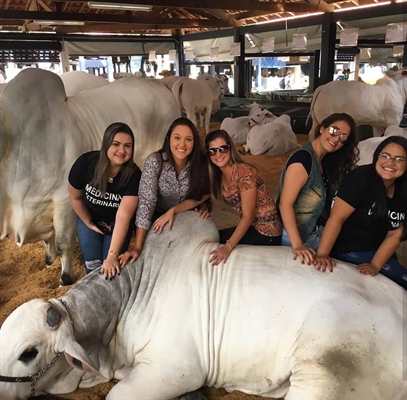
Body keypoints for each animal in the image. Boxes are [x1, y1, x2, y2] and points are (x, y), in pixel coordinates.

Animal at [0, 69, 180, 288]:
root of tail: (159, 86)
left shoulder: (63, 201)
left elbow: (62, 243)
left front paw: (65, 279)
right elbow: (48, 239)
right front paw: (49, 260)